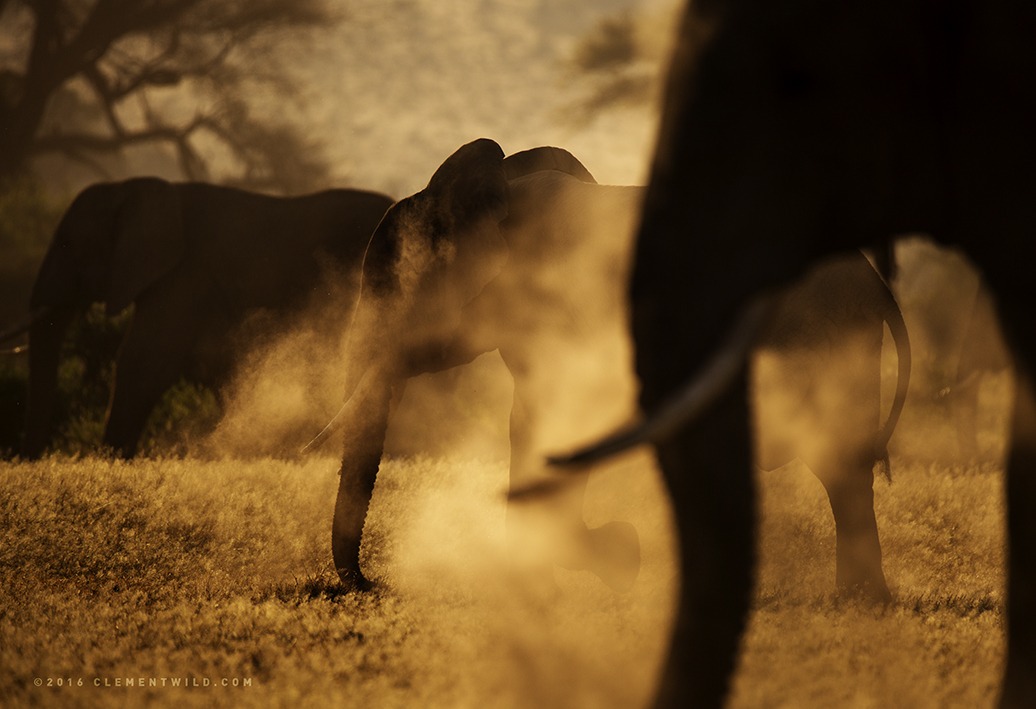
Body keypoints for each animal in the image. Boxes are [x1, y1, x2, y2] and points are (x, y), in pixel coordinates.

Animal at [25, 178, 395, 460]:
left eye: (68, 244)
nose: (36, 458)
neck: (136, 188)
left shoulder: (182, 277)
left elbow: (142, 363)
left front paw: (110, 459)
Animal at [321, 135, 907, 601]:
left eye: (395, 285)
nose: (369, 584)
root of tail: (874, 280)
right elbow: (529, 423)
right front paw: (533, 583)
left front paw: (619, 558)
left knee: (837, 460)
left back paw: (858, 602)